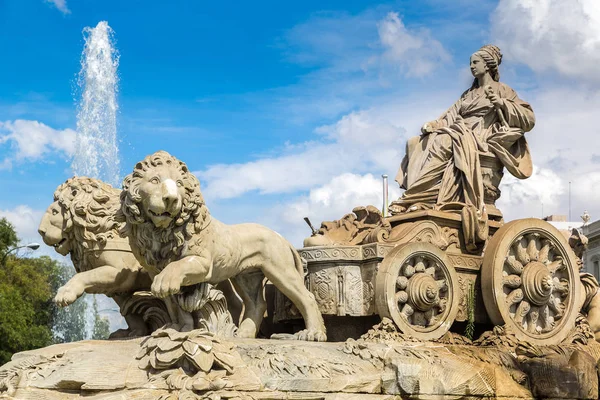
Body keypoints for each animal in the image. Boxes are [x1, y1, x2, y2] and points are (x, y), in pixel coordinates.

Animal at [119, 151, 326, 340]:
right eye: (154, 180)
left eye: (179, 184)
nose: (171, 199)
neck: (161, 232)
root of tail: (281, 237)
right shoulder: (154, 269)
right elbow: (175, 306)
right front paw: (179, 329)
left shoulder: (202, 262)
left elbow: (178, 266)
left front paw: (165, 283)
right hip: (246, 276)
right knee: (256, 304)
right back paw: (243, 334)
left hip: (280, 269)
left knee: (306, 297)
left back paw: (314, 333)